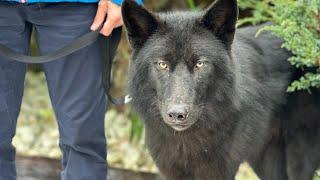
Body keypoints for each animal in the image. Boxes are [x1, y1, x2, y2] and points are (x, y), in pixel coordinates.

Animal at [120, 0, 320, 179]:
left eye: (200, 64)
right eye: (162, 64)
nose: (177, 114)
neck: (187, 140)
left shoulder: (218, 172)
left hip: (299, 157)